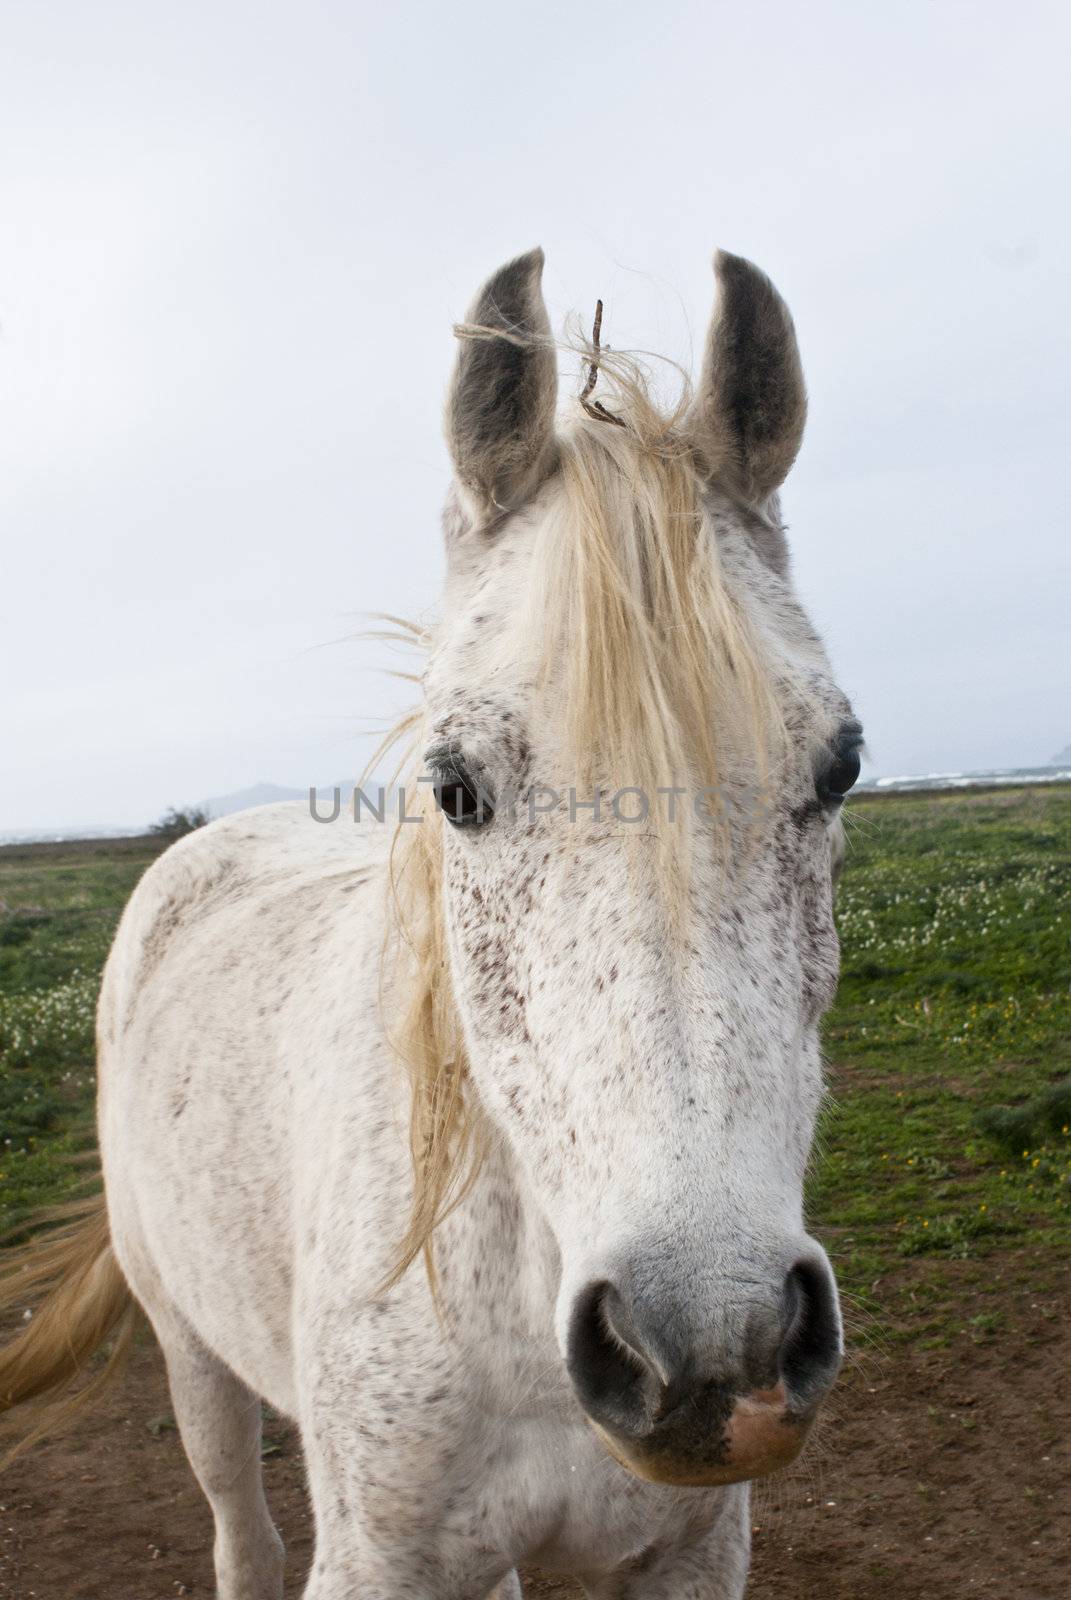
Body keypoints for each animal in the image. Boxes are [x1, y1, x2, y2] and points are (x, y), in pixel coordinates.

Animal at [2, 249, 858, 1600]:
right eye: (455, 787)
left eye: (841, 766)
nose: (713, 1348)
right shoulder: (377, 1558)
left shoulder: (691, 1550)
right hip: (193, 1356)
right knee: (238, 1529)